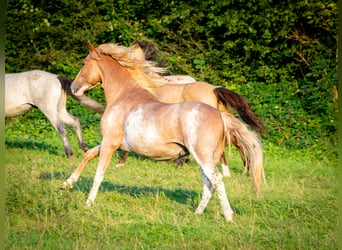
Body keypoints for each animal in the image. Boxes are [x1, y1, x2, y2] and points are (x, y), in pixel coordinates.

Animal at [61, 42, 264, 222]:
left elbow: (99, 174)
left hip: (203, 157)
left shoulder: (110, 144)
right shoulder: (111, 143)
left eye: (83, 63)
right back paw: (197, 214)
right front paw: (66, 184)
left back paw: (228, 216)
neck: (123, 97)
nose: (73, 88)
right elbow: (88, 155)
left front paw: (88, 203)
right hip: (204, 158)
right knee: (209, 184)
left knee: (217, 180)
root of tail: (220, 114)